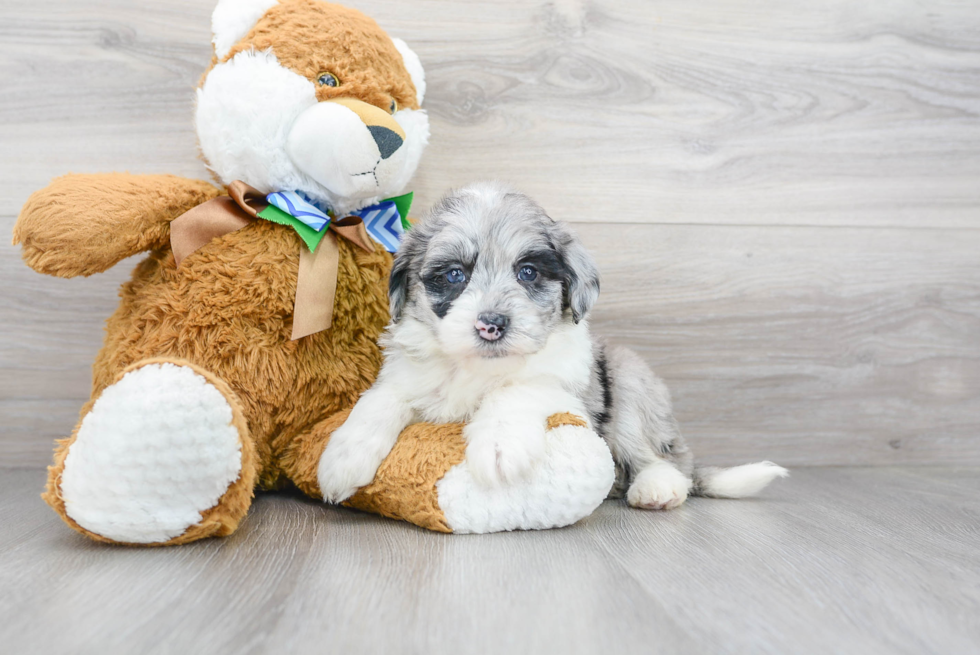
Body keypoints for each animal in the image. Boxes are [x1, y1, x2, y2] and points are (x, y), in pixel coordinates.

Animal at [322, 182, 788, 510]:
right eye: (455, 275)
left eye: (528, 272)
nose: (491, 325)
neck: (480, 367)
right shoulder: (406, 374)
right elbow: (380, 400)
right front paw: (342, 458)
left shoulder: (566, 384)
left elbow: (516, 391)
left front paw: (499, 446)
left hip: (630, 378)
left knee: (662, 458)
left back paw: (658, 488)